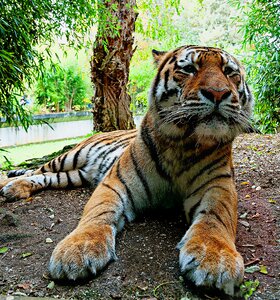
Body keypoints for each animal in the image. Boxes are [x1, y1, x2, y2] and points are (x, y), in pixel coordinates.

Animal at [0, 45, 254, 296]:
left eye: (230, 72)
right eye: (189, 69)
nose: (218, 93)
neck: (184, 145)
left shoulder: (218, 186)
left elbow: (215, 218)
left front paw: (215, 259)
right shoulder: (115, 182)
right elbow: (98, 212)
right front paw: (77, 250)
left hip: (74, 176)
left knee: (46, 177)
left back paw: (16, 189)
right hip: (70, 157)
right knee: (35, 169)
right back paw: (7, 184)